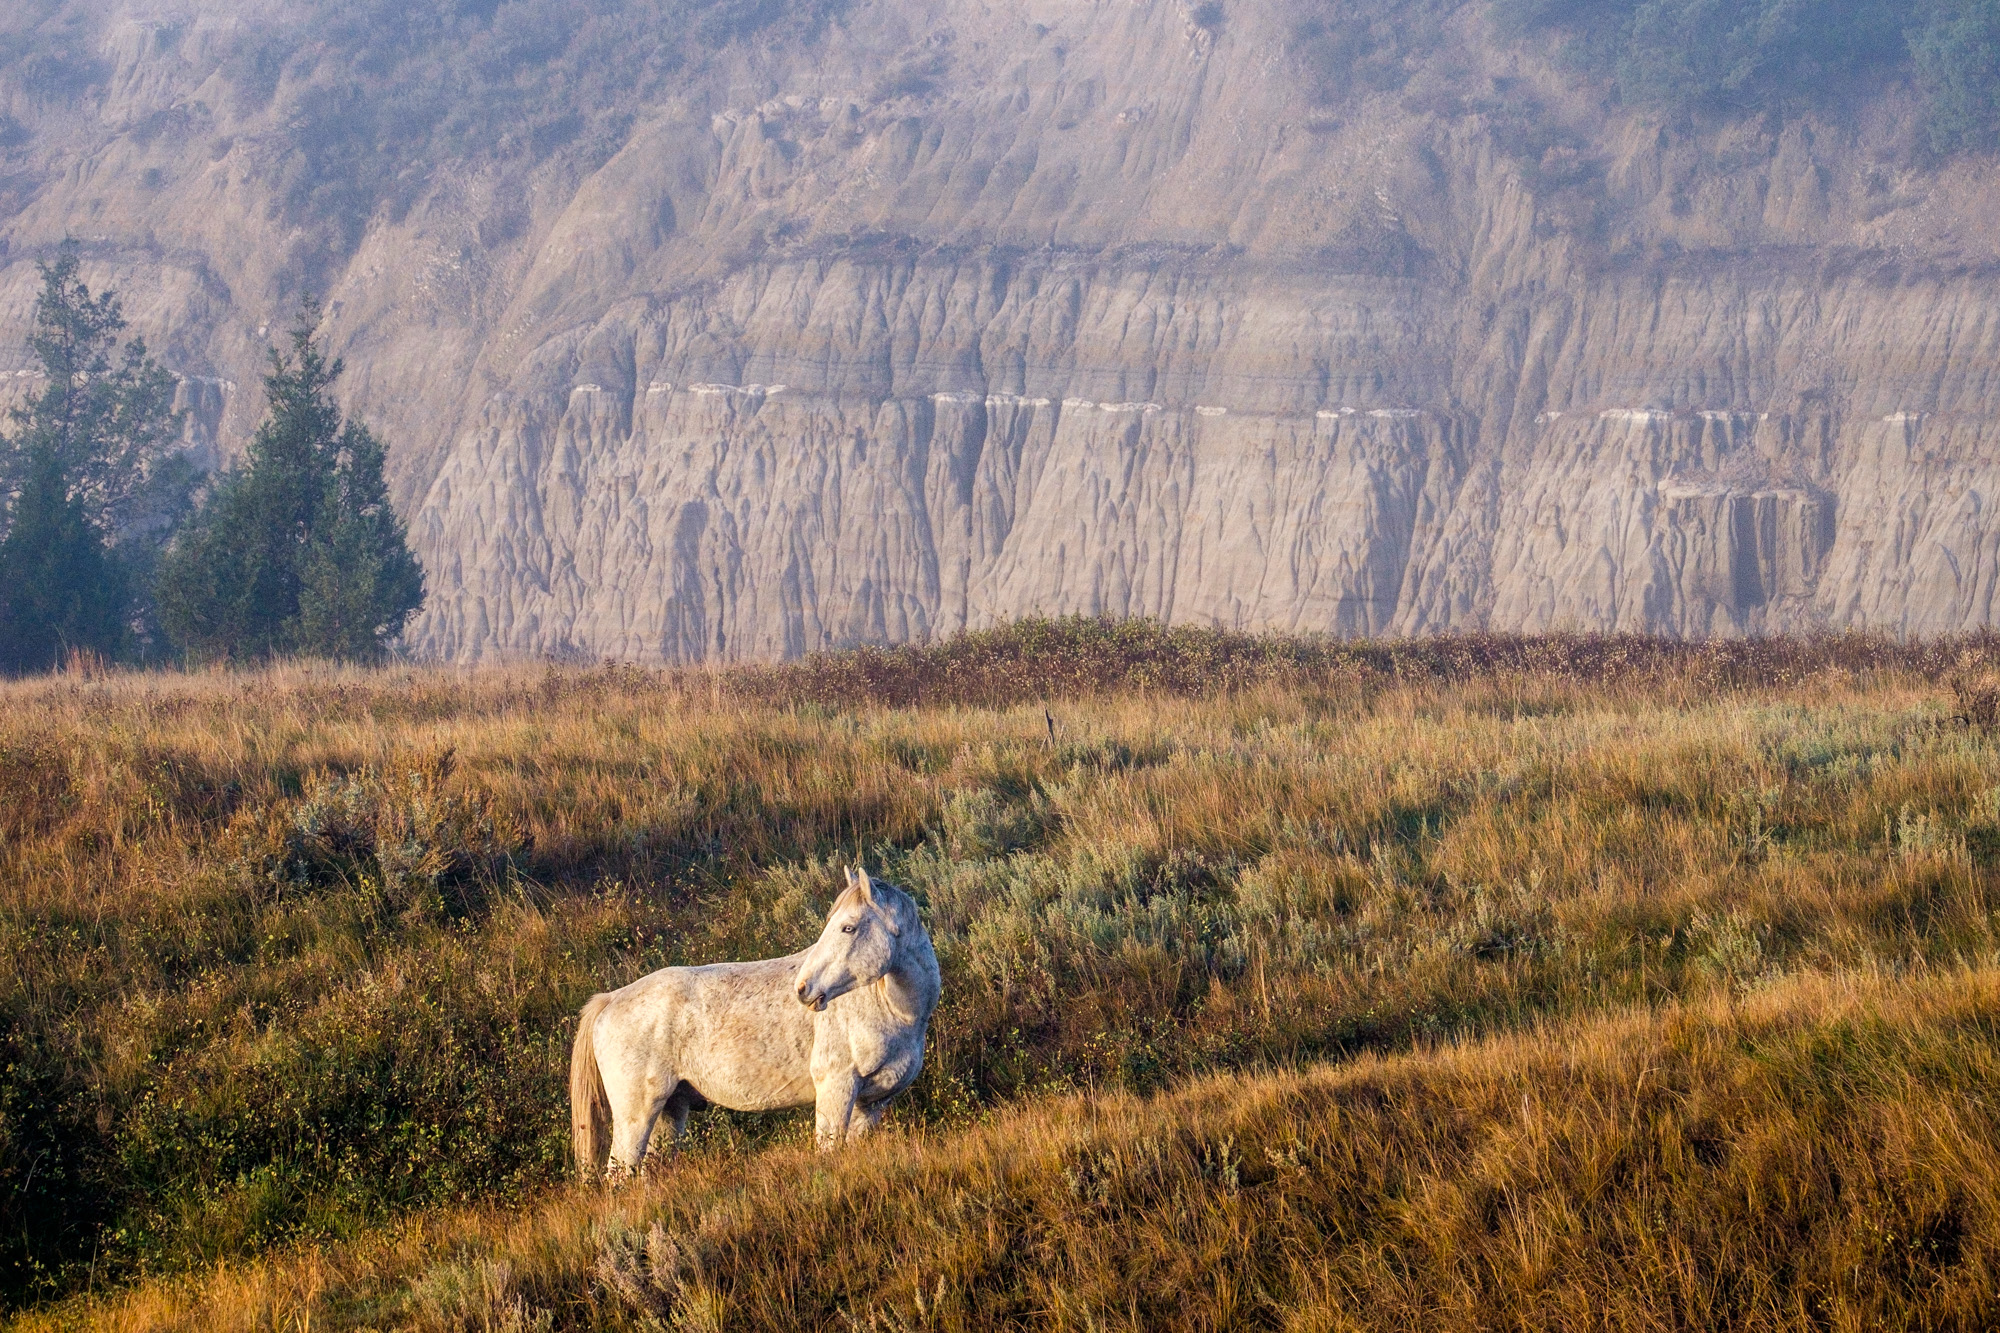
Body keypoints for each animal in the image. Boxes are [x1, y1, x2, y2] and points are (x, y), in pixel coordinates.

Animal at [564, 868, 936, 1168]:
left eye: (848, 928)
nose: (803, 988)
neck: (897, 1012)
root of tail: (611, 999)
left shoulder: (872, 1103)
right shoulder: (837, 1088)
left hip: (668, 1112)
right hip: (635, 1115)